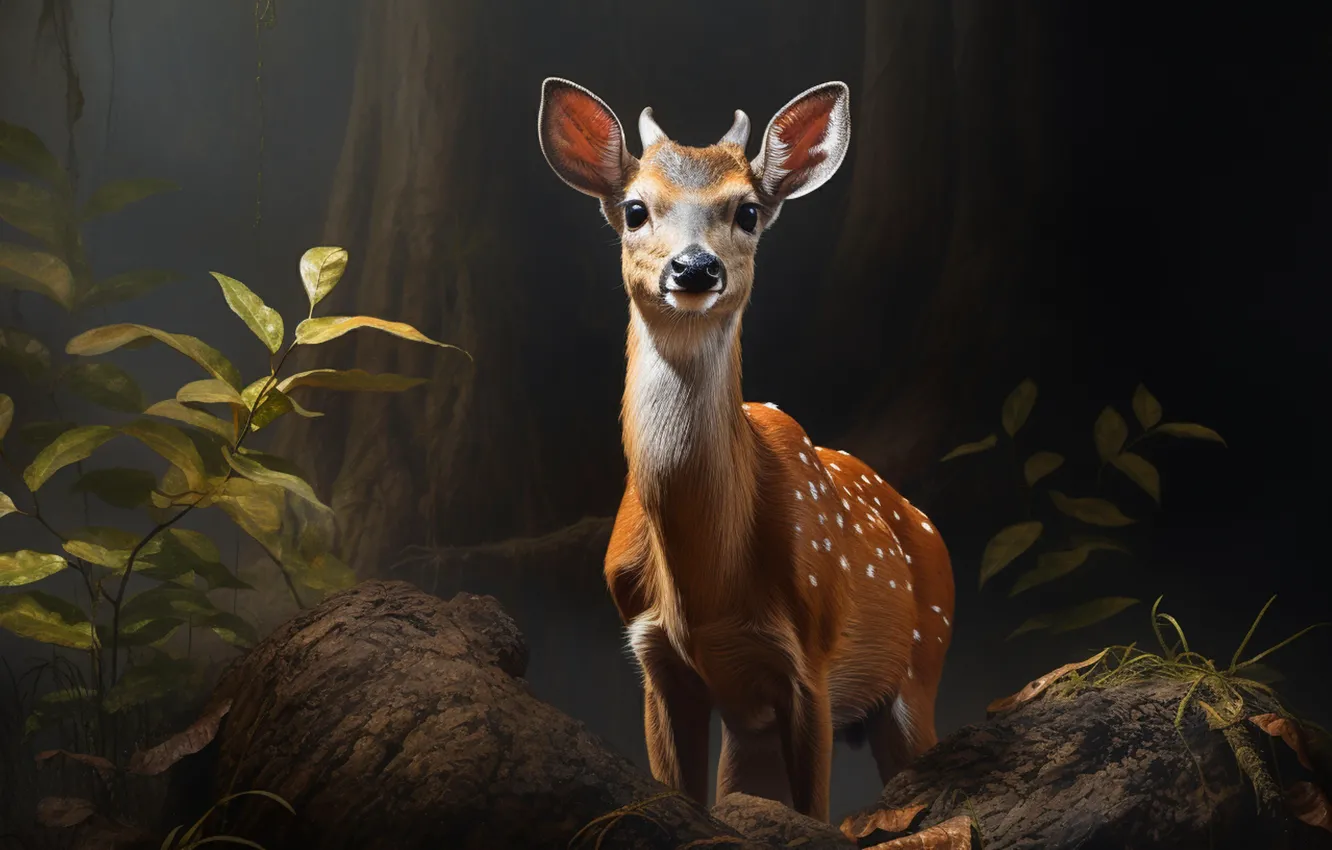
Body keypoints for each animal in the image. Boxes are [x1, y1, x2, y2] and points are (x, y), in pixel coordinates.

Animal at [536, 77, 955, 823]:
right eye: (636, 210)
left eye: (749, 211)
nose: (694, 267)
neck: (706, 587)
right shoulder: (655, 659)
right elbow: (682, 793)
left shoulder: (811, 661)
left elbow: (814, 811)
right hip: (753, 726)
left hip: (920, 666)